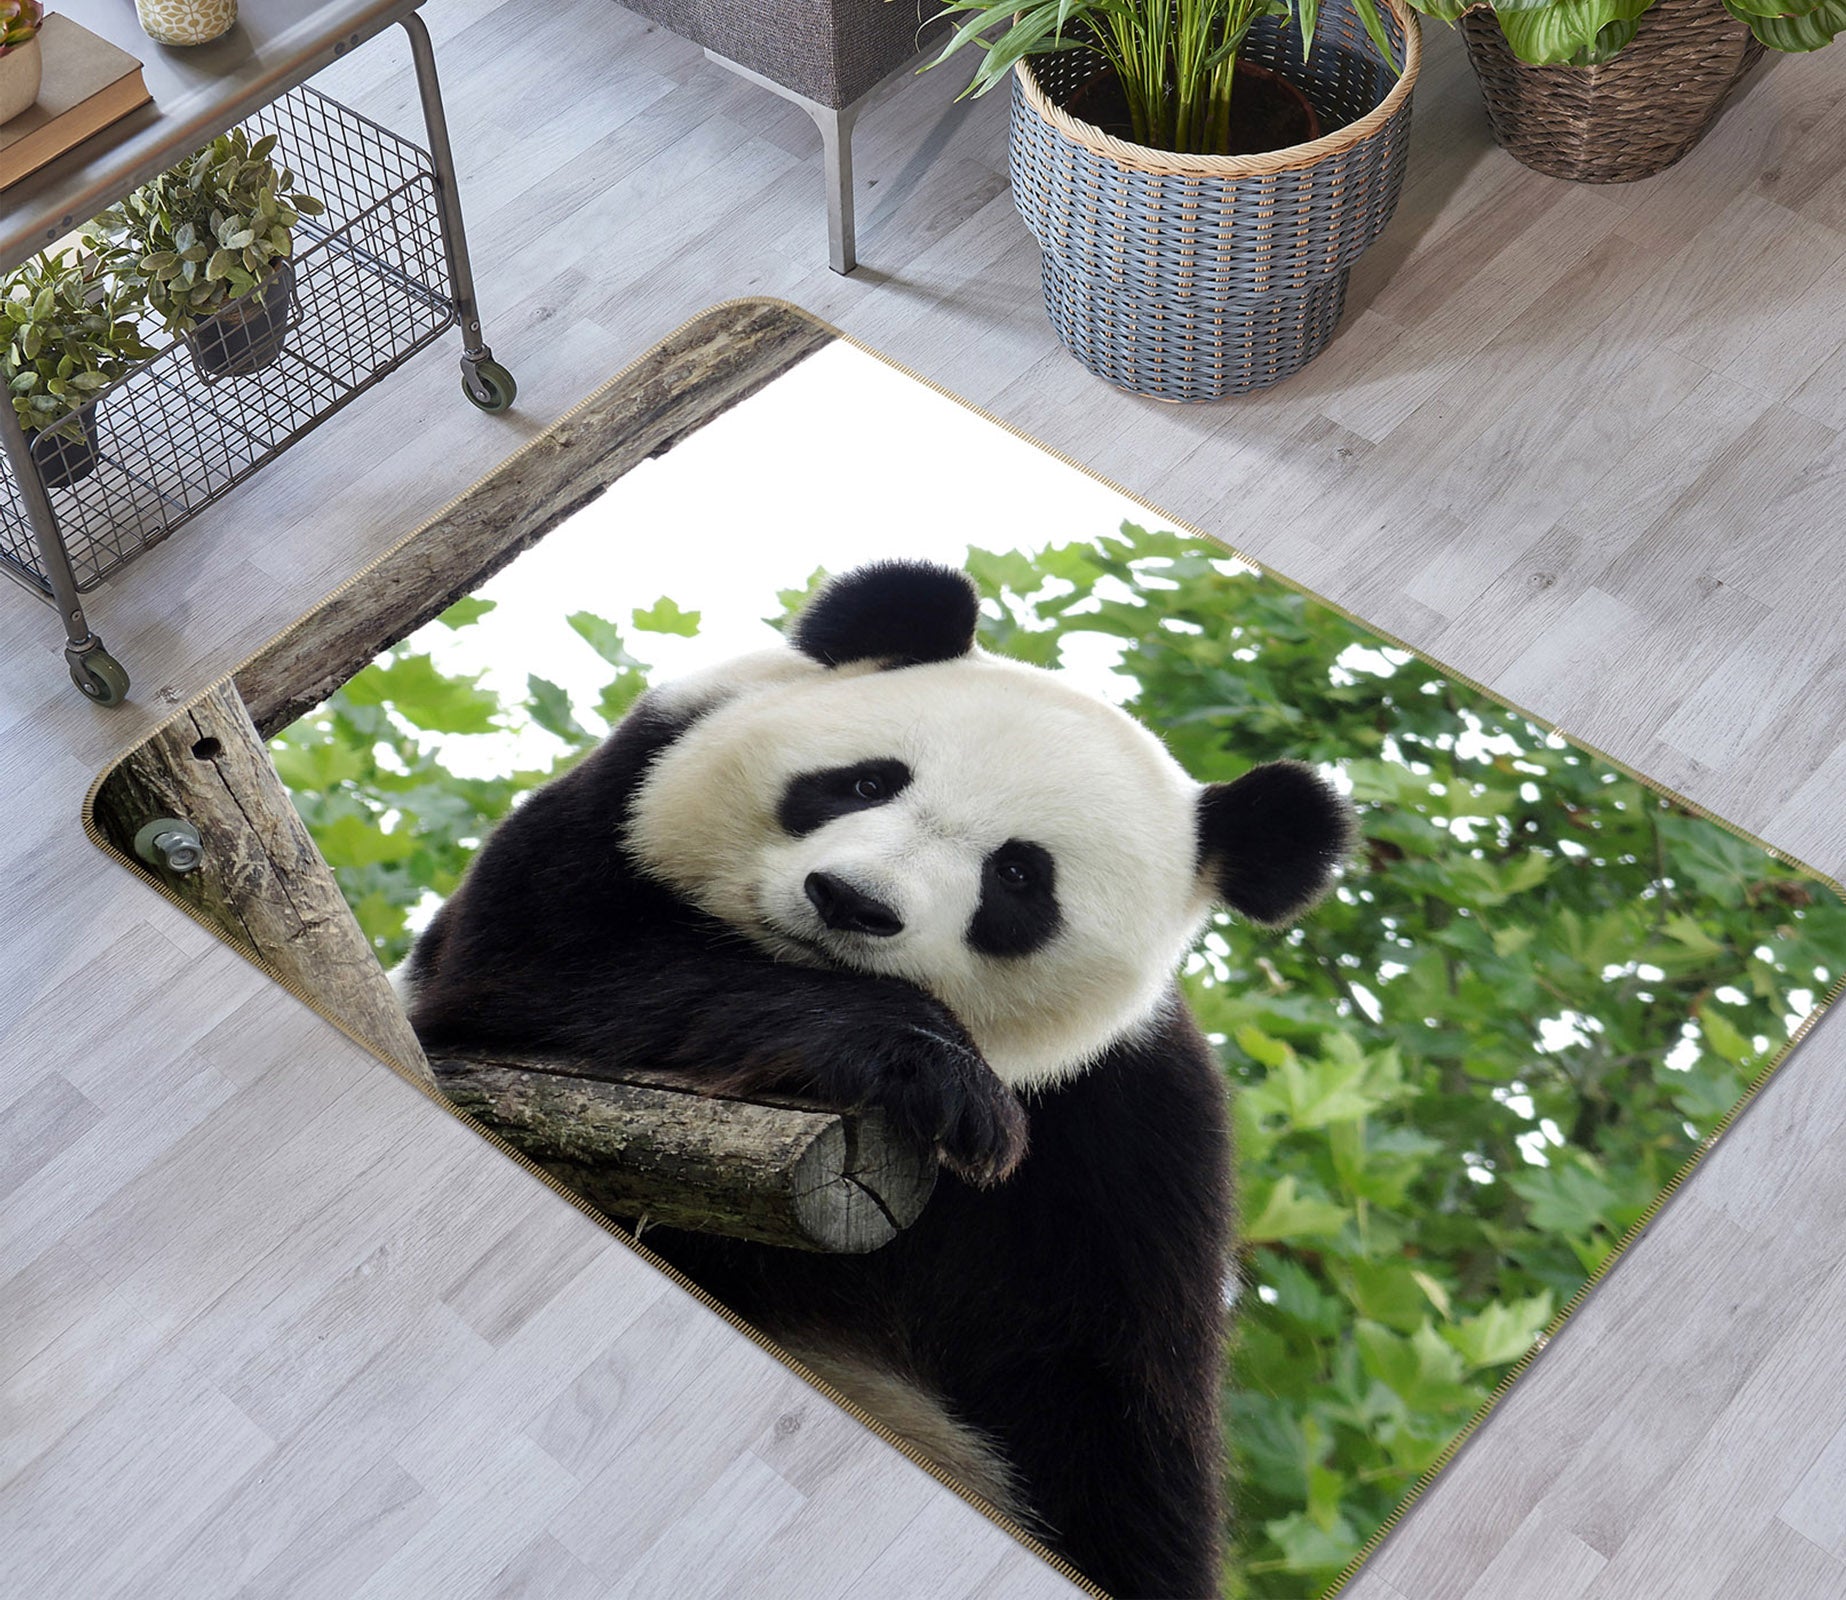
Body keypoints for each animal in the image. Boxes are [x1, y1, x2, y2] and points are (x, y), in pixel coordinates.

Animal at [400, 560, 1350, 1599]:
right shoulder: (614, 806)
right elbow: (547, 964)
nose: (851, 902)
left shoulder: (1126, 1146)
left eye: (1020, 877)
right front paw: (933, 1071)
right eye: (862, 782)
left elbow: (1107, 1414)